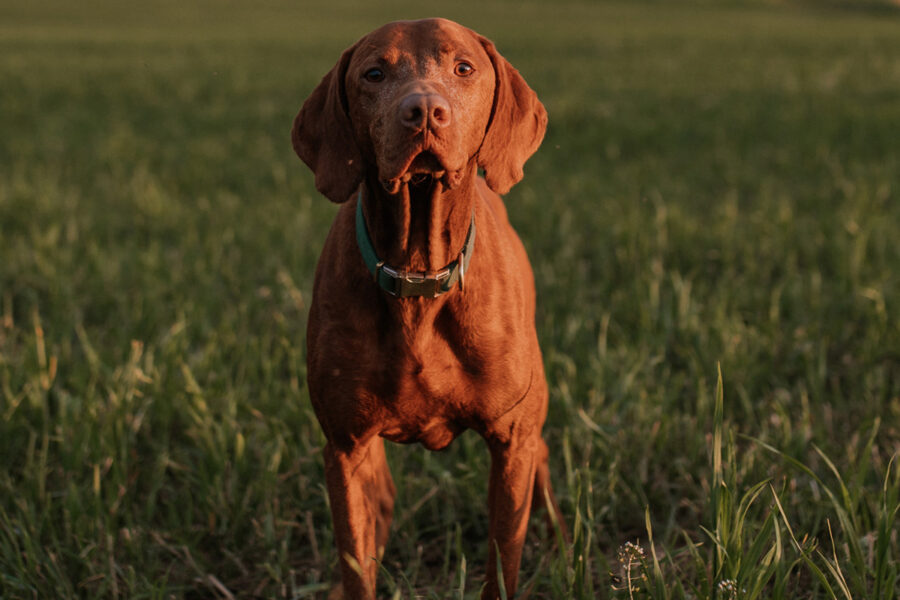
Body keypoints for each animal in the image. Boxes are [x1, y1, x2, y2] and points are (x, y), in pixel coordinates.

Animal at [294, 18, 564, 600]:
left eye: (463, 67)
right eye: (374, 73)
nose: (423, 110)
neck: (418, 274)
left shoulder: (511, 442)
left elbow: (502, 564)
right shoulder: (345, 447)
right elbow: (356, 563)